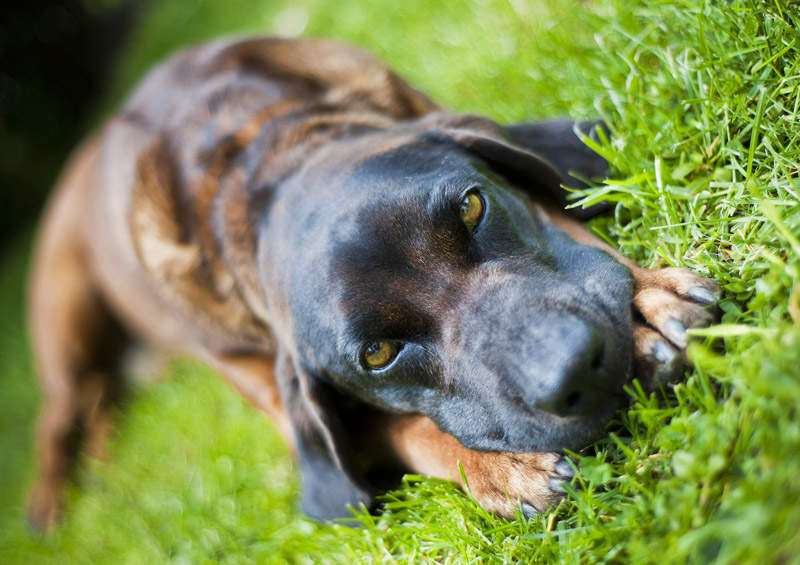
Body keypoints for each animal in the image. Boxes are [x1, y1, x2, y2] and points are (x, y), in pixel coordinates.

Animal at [26, 35, 720, 528]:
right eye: (379, 354)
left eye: (472, 207)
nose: (576, 368)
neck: (255, 158)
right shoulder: (275, 397)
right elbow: (403, 430)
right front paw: (500, 469)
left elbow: (565, 220)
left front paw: (649, 306)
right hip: (64, 321)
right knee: (60, 412)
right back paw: (52, 495)